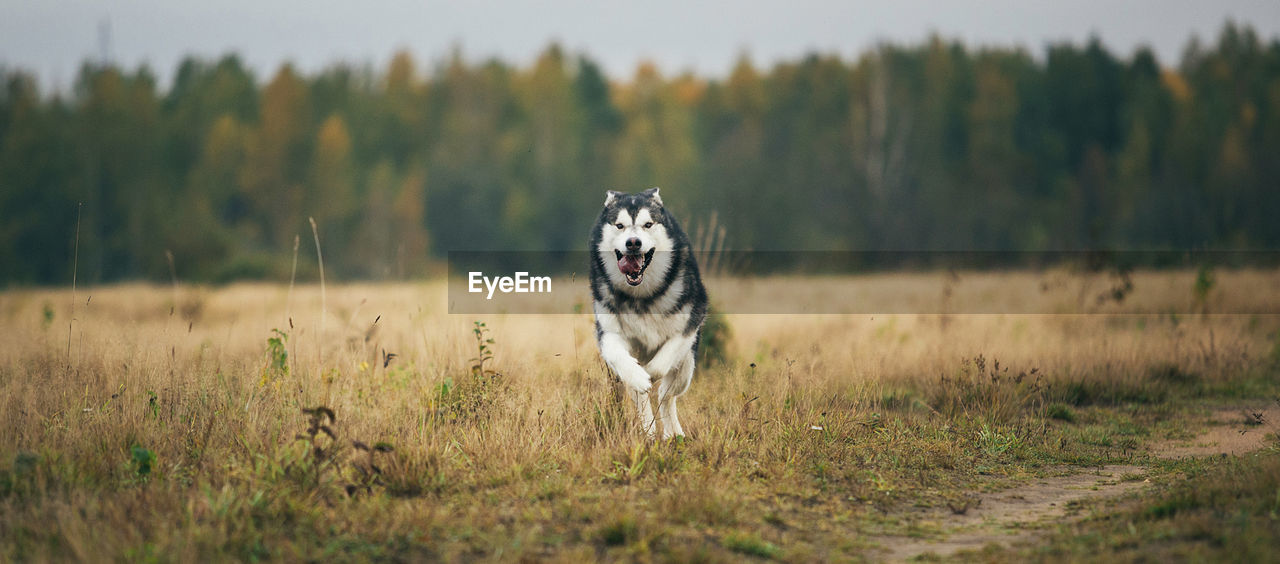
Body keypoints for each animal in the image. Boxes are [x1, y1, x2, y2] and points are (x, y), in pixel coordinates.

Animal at [591, 186, 711, 437]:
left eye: (648, 224)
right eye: (620, 225)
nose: (633, 243)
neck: (641, 295)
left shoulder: (689, 322)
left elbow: (661, 363)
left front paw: (648, 373)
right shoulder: (608, 331)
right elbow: (622, 360)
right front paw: (639, 376)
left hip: (686, 367)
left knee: (667, 395)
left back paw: (673, 433)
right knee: (641, 397)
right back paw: (649, 430)